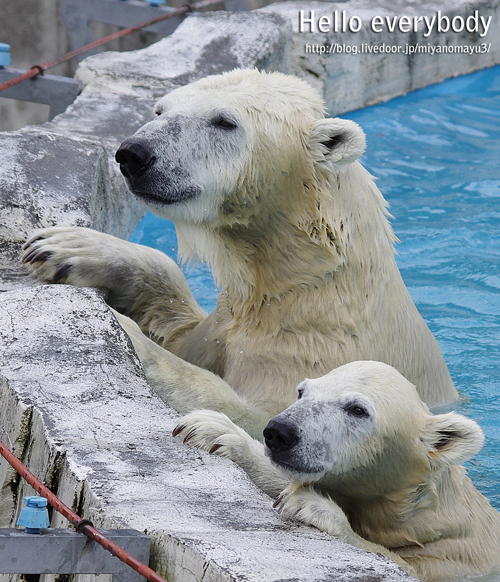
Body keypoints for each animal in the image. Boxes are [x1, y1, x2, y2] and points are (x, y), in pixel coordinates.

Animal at [25, 68, 458, 440]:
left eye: (224, 122)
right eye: (160, 109)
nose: (134, 153)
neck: (301, 284)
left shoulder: (316, 352)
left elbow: (251, 413)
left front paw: (126, 334)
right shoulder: (226, 324)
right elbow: (180, 328)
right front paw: (65, 247)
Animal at [174, 362, 500, 580]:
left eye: (357, 409)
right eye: (301, 391)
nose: (279, 432)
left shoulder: (452, 560)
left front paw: (309, 506)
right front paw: (212, 429)